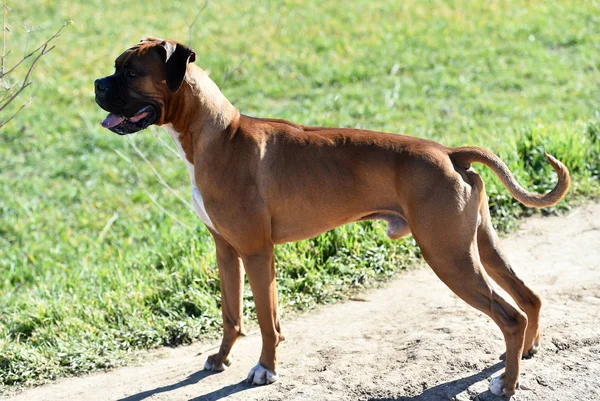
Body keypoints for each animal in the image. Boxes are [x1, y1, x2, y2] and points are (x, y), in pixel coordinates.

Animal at [95, 38, 572, 396]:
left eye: (130, 72)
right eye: (115, 67)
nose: (97, 84)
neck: (218, 135)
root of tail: (451, 153)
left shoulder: (256, 252)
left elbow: (265, 318)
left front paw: (265, 369)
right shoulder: (226, 251)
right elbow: (233, 314)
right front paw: (221, 359)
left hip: (449, 258)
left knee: (510, 315)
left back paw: (506, 384)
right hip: (479, 246)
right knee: (529, 298)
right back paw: (520, 356)